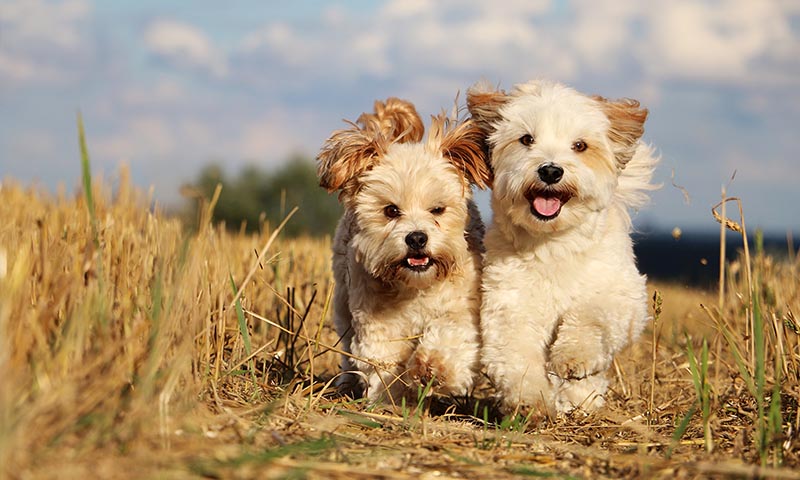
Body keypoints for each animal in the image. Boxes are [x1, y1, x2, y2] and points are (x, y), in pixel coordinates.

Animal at [318, 97, 490, 404]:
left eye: (437, 209)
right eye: (390, 210)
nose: (417, 238)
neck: (416, 288)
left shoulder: (463, 307)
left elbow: (452, 337)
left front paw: (432, 369)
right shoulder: (376, 322)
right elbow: (383, 360)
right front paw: (391, 399)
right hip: (342, 302)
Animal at [466, 80, 660, 414]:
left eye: (580, 146)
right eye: (526, 139)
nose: (550, 170)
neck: (554, 243)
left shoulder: (620, 297)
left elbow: (590, 316)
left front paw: (574, 355)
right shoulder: (508, 308)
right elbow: (516, 357)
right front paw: (530, 400)